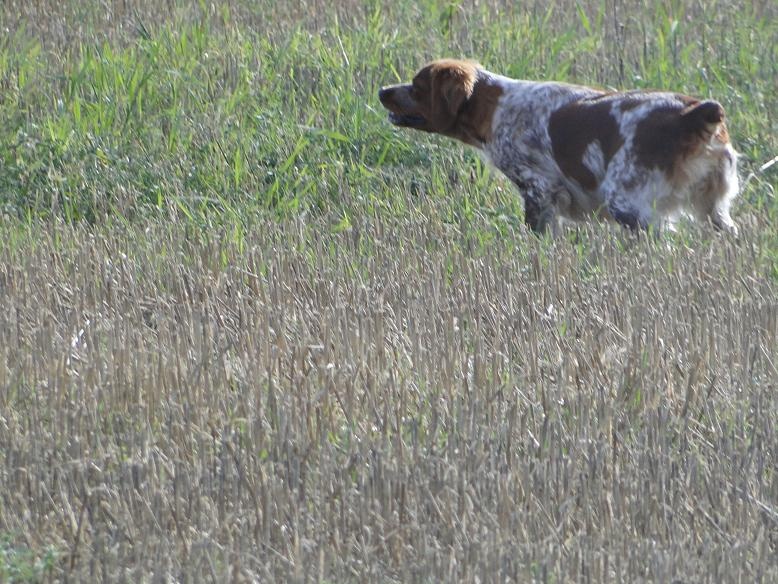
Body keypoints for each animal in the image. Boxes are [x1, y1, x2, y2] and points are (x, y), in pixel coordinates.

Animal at [378, 58, 736, 233]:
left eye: (417, 85)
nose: (382, 90)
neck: (495, 108)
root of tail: (693, 113)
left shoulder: (539, 189)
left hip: (627, 203)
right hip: (712, 208)